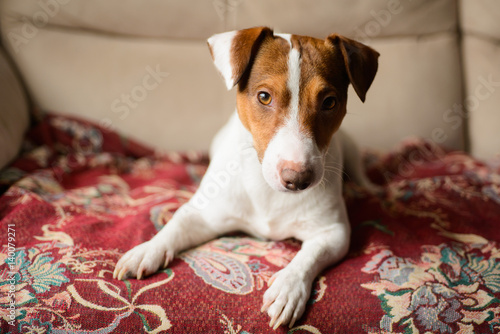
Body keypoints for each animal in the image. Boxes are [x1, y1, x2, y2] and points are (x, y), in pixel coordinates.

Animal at [113, 26, 378, 328]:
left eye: (330, 102)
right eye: (264, 97)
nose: (298, 179)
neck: (267, 189)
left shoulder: (333, 233)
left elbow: (308, 257)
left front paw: (288, 287)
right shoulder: (203, 215)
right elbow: (176, 225)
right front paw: (148, 249)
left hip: (351, 148)